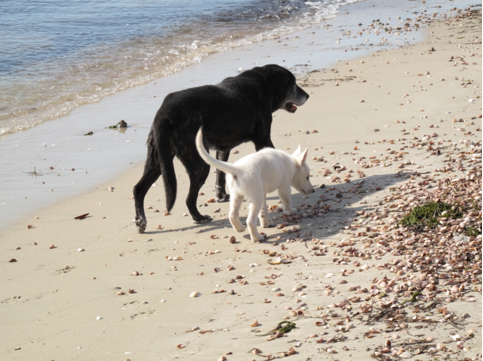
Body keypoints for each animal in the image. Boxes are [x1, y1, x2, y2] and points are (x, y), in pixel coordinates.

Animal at [134, 63, 308, 232]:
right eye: (292, 84)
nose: (307, 96)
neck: (263, 84)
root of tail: (164, 113)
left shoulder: (223, 149)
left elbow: (220, 175)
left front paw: (221, 196)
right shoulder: (263, 139)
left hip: (158, 161)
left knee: (138, 188)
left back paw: (140, 220)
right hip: (198, 164)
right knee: (189, 198)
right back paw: (198, 217)